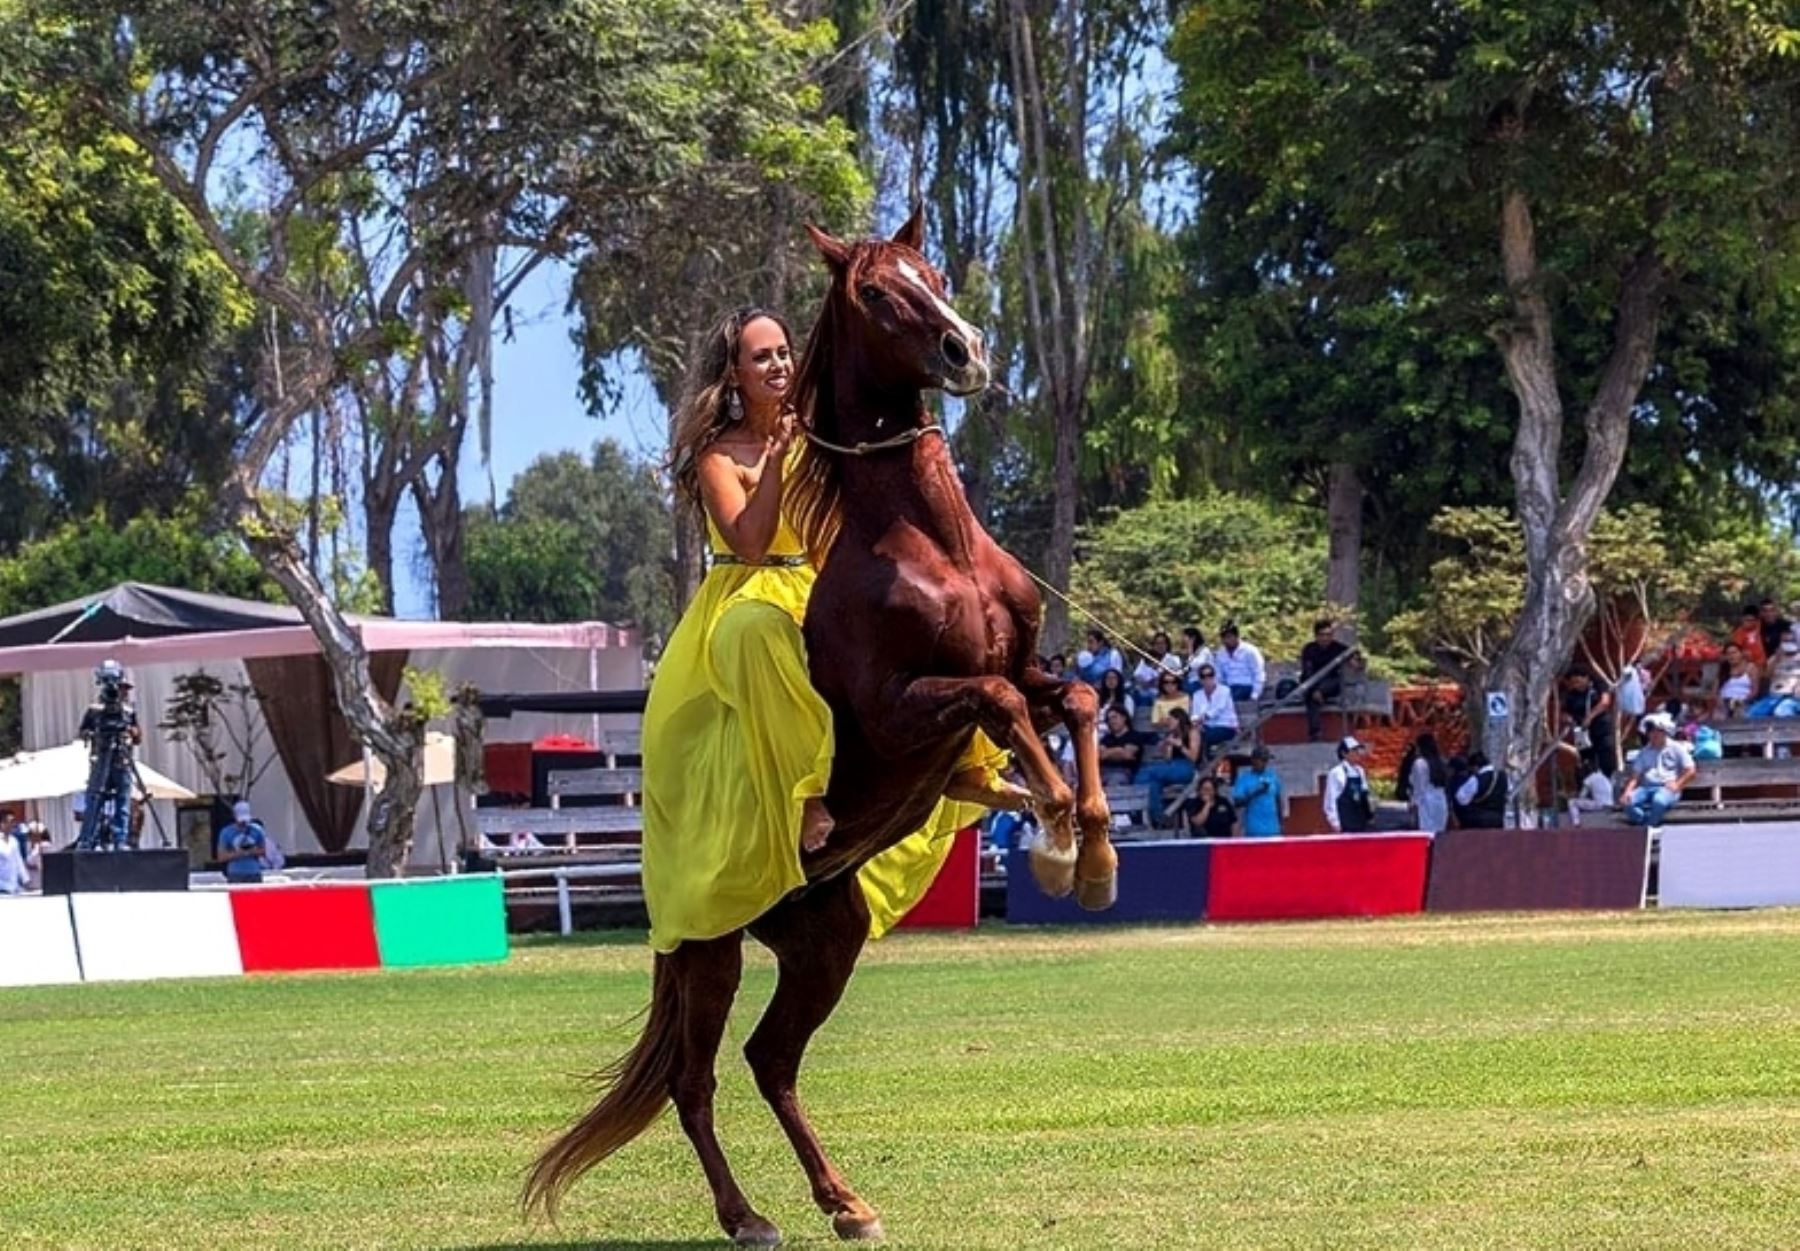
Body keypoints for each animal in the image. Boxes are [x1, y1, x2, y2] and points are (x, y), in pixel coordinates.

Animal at [522, 210, 1116, 1245]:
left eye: (933, 274)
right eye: (877, 294)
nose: (967, 351)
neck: (929, 544)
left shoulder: (1022, 667)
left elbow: (1071, 700)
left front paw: (1092, 853)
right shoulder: (902, 704)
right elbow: (998, 707)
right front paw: (1048, 836)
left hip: (824, 941)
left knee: (771, 1060)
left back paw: (844, 1202)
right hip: (710, 952)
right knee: (696, 1077)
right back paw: (748, 1215)